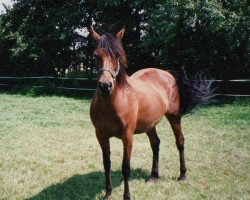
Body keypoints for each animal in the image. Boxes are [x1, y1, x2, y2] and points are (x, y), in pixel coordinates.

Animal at [89, 27, 212, 200]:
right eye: (95, 55)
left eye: (117, 56)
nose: (105, 85)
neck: (111, 104)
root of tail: (167, 74)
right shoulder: (101, 135)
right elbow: (107, 164)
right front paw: (108, 193)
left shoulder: (128, 137)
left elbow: (125, 167)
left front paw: (127, 196)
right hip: (150, 124)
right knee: (155, 143)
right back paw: (154, 176)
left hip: (174, 117)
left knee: (180, 141)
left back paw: (182, 175)